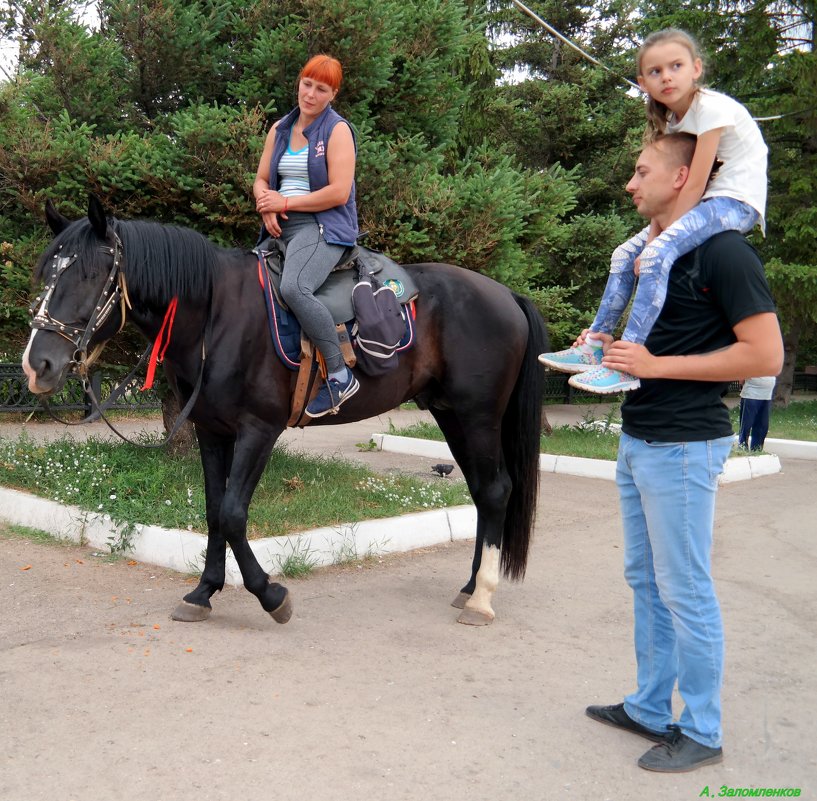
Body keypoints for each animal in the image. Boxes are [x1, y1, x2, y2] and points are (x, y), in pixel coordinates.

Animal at [22, 194, 552, 624]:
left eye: (89, 275)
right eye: (48, 273)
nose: (37, 364)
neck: (216, 315)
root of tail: (506, 294)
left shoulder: (259, 429)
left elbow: (234, 513)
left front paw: (270, 595)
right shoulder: (211, 430)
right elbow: (214, 510)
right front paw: (203, 592)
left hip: (477, 416)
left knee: (496, 490)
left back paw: (482, 598)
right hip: (450, 414)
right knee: (483, 492)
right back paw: (469, 587)